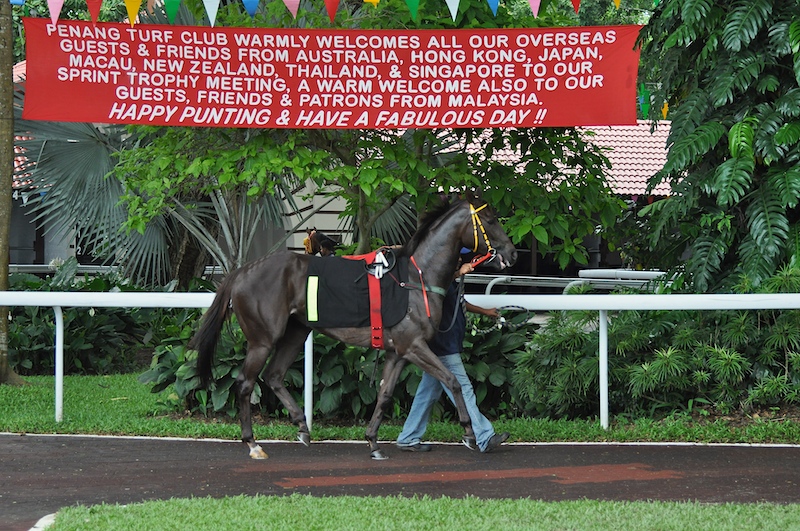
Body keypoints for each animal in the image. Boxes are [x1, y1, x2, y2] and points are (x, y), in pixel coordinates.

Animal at [191, 194, 518, 460]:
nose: (512, 253)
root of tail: (242, 271)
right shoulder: (413, 345)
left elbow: (385, 394)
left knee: (273, 376)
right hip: (263, 340)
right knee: (245, 383)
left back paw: (302, 426)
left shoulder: (398, 351)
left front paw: (373, 442)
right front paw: (469, 433)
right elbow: (453, 381)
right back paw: (253, 444)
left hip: (296, 332)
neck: (417, 278)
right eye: (491, 220)